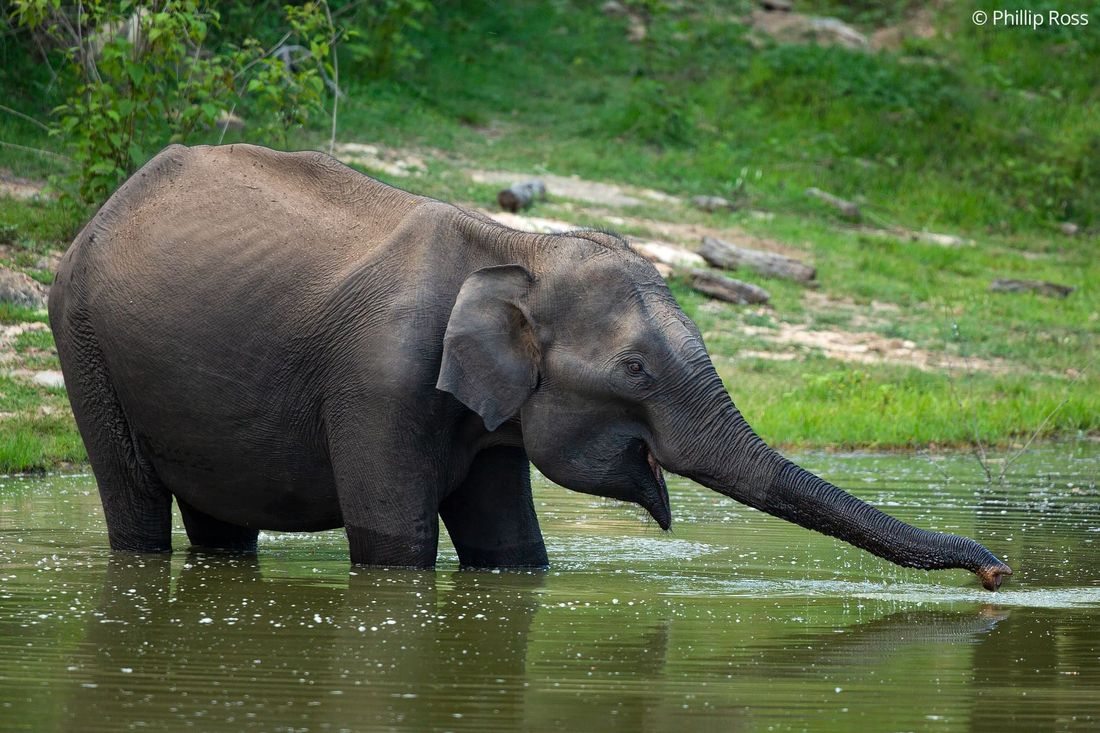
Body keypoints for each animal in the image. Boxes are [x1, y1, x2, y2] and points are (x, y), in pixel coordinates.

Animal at [49, 143, 1012, 590]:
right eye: (636, 371)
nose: (999, 572)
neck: (519, 246)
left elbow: (512, 549)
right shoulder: (379, 381)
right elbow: (394, 547)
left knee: (221, 525)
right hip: (82, 339)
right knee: (135, 505)